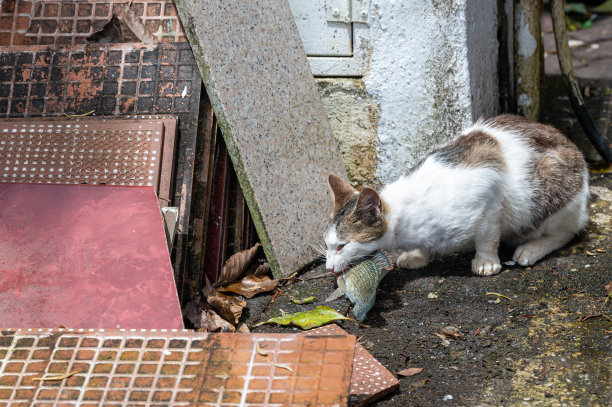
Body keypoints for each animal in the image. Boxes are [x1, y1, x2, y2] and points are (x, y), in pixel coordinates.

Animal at [326, 113, 588, 276]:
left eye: (341, 246)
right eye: (328, 245)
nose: (328, 267)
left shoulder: (489, 191)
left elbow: (487, 236)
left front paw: (486, 262)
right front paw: (417, 255)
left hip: (553, 191)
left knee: (565, 233)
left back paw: (531, 249)